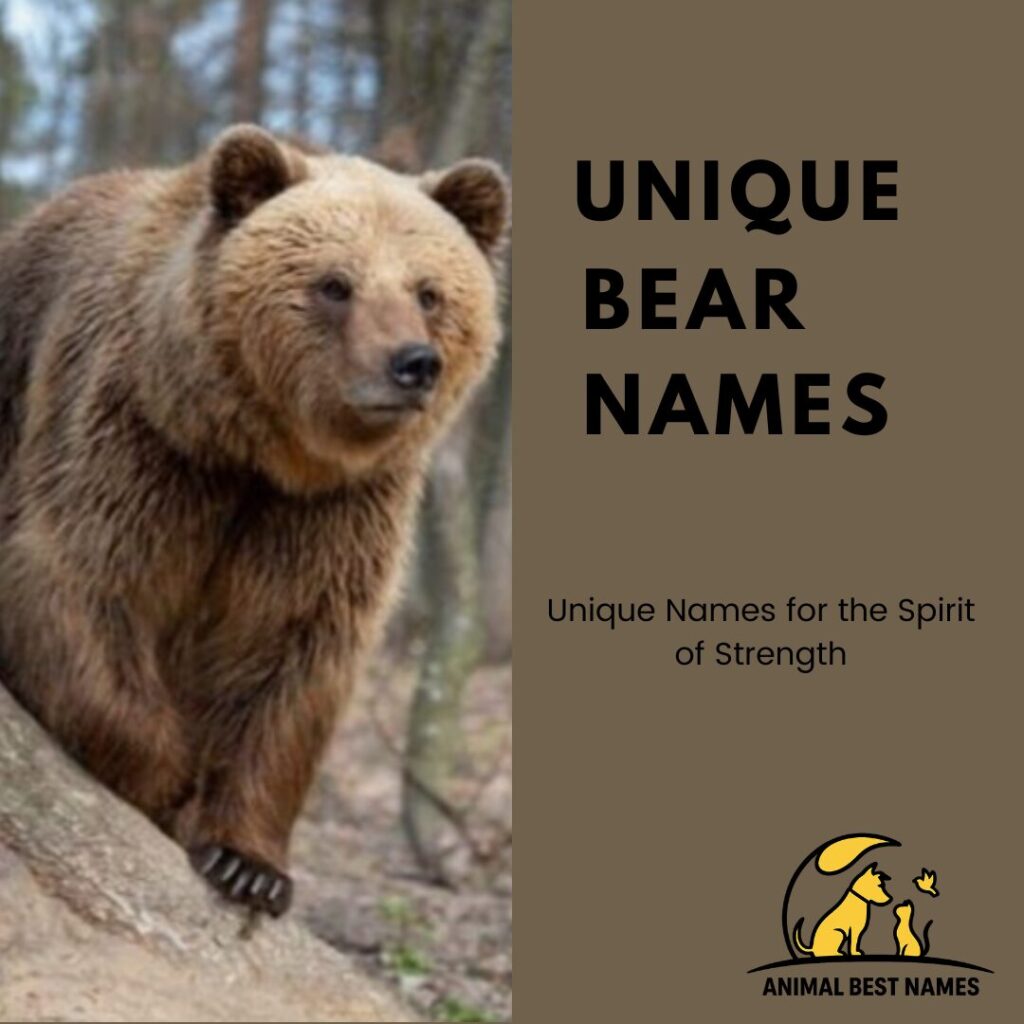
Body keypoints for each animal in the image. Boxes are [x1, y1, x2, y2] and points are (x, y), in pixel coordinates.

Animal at [0, 125, 508, 916]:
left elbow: (290, 653)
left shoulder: (328, 512)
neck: (264, 450)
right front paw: (167, 781)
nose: (411, 363)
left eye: (429, 292)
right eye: (335, 284)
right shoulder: (143, 442)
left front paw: (249, 863)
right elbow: (85, 583)